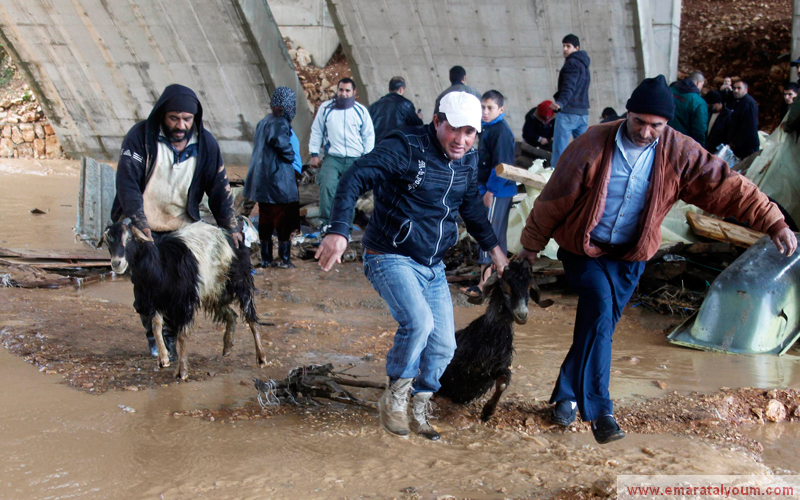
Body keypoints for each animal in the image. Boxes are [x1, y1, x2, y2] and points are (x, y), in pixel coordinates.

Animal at [101, 221, 266, 380]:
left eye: (129, 238)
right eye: (108, 241)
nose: (116, 263)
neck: (161, 265)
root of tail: (233, 237)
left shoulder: (185, 302)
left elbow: (182, 336)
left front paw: (182, 371)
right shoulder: (156, 301)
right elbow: (156, 327)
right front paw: (163, 359)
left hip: (240, 282)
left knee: (251, 319)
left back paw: (261, 357)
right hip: (213, 291)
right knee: (232, 314)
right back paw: (227, 346)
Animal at [434, 260, 552, 420]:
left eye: (528, 288)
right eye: (505, 287)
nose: (522, 315)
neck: (490, 338)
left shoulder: (498, 367)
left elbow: (501, 384)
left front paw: (487, 412)